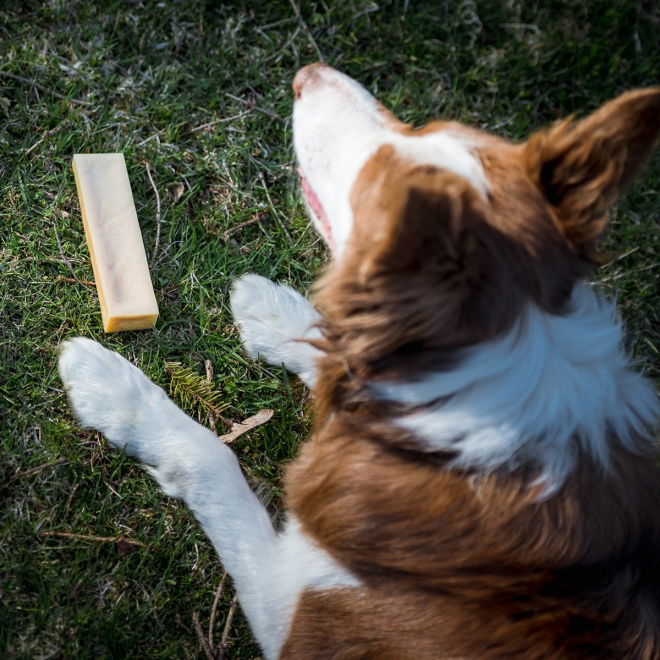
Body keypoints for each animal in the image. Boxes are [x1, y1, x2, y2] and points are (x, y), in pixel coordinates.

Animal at [59, 63, 656, 660]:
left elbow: (213, 458)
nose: (308, 73)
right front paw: (271, 312)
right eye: (426, 128)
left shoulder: (294, 614)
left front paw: (112, 389)